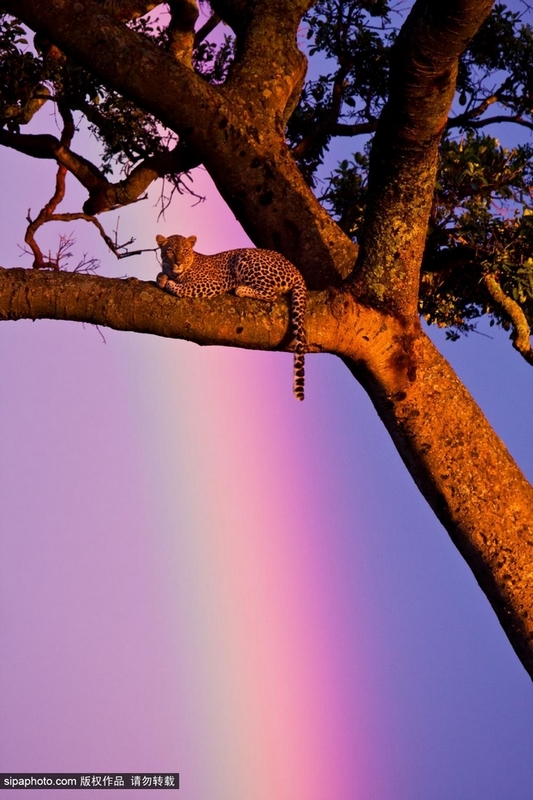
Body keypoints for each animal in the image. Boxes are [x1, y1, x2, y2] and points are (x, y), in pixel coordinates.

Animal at [156, 236, 306, 400]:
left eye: (184, 251)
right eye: (170, 251)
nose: (178, 262)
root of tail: (296, 270)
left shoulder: (213, 283)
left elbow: (183, 288)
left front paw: (169, 283)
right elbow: (161, 275)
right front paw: (162, 278)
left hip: (245, 259)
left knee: (271, 293)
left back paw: (241, 289)